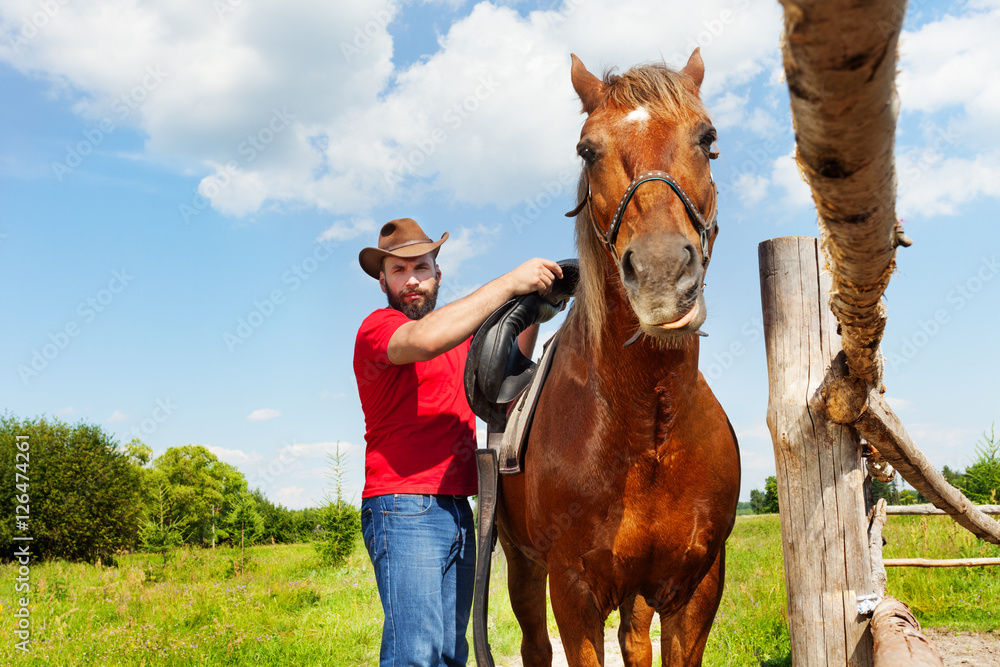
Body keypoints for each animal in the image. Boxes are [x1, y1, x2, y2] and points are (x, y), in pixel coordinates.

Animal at [498, 49, 744, 664]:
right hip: (522, 567)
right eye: (587, 149)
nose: (661, 274)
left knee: (634, 642)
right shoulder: (573, 592)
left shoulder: (695, 589)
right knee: (534, 643)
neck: (646, 432)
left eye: (707, 138)